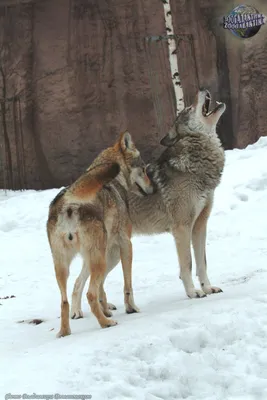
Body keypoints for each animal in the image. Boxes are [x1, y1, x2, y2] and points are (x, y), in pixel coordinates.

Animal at [47, 132, 154, 338]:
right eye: (144, 169)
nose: (154, 189)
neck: (116, 182)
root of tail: (69, 201)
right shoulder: (126, 244)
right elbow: (127, 285)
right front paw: (132, 308)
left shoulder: (109, 249)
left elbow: (100, 287)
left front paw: (106, 307)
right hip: (102, 258)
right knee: (90, 293)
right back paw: (106, 322)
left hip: (73, 263)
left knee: (68, 296)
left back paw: (66, 330)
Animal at [70, 89, 226, 318]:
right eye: (189, 107)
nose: (203, 90)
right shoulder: (182, 228)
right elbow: (187, 264)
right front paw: (193, 292)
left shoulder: (200, 226)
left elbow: (202, 263)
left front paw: (208, 288)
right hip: (108, 254)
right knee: (80, 282)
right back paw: (77, 313)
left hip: (112, 255)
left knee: (88, 282)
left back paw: (102, 308)